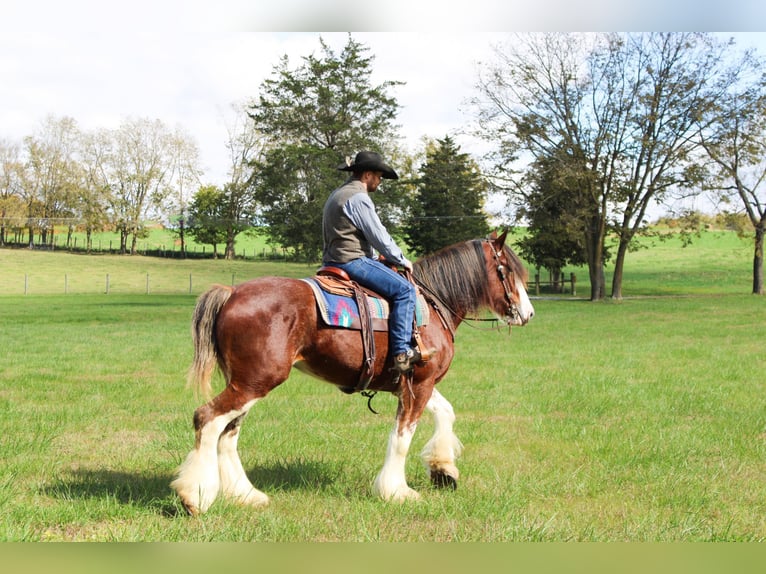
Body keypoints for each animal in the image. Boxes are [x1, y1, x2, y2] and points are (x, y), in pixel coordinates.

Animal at [172, 231, 536, 516]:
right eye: (506, 270)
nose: (528, 313)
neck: (432, 304)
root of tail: (232, 293)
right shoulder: (419, 383)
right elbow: (401, 438)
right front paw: (396, 491)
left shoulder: (413, 384)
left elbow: (446, 413)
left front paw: (443, 470)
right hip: (255, 382)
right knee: (207, 419)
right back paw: (195, 496)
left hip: (247, 382)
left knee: (228, 432)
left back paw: (246, 495)